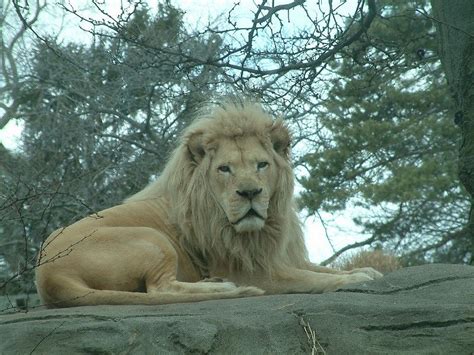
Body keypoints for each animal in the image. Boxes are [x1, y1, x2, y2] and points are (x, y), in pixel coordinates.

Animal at [38, 101, 386, 308]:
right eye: (224, 169)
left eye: (262, 165)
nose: (250, 193)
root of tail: (47, 276)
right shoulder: (254, 272)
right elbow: (310, 279)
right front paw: (354, 279)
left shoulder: (276, 257)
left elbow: (316, 268)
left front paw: (365, 269)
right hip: (153, 239)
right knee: (160, 290)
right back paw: (224, 288)